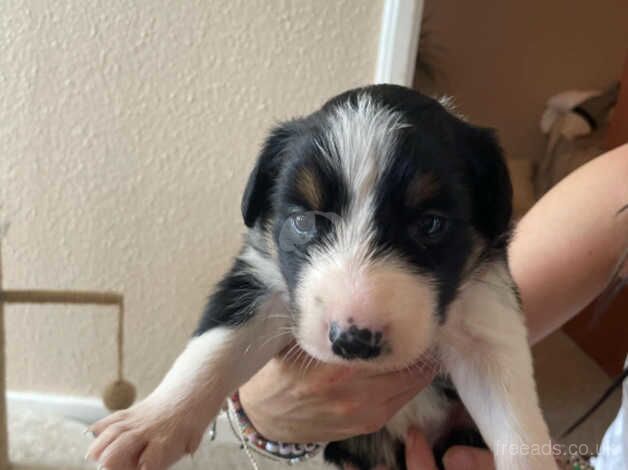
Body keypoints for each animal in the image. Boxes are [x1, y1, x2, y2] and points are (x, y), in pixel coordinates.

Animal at [86, 85, 556, 470]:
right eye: (305, 220)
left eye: (431, 225)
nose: (353, 341)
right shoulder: (260, 280)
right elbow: (212, 351)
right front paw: (148, 426)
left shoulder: (486, 316)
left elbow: (516, 422)